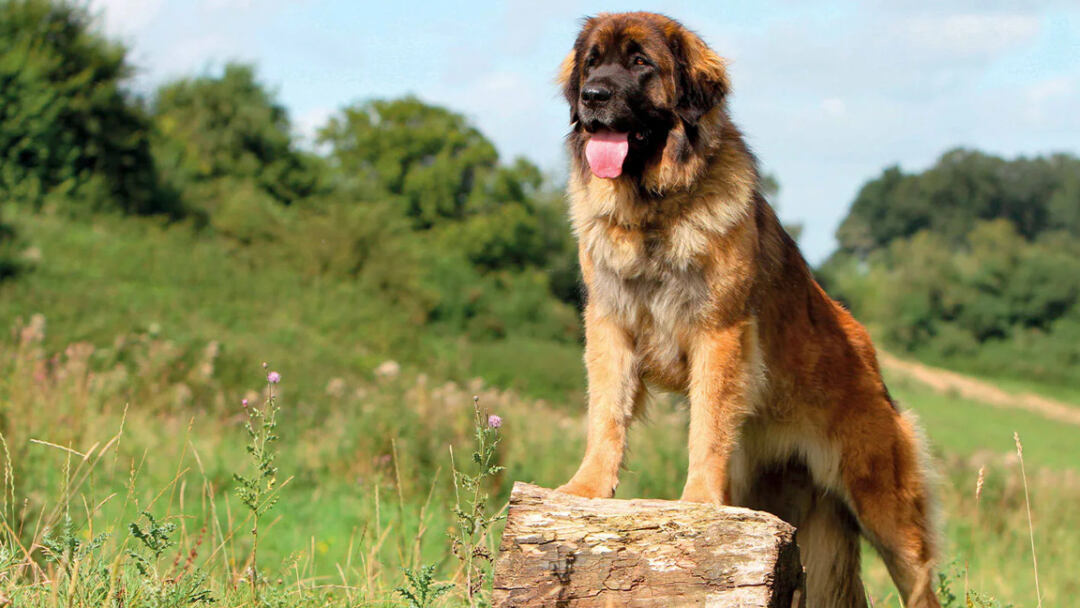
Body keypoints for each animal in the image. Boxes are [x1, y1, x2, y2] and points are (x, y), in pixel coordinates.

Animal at [552, 11, 941, 604]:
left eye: (640, 63)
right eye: (592, 63)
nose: (593, 96)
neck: (655, 212)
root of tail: (870, 358)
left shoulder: (719, 331)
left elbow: (707, 427)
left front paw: (697, 505)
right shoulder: (610, 326)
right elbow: (606, 414)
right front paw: (587, 488)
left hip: (885, 504)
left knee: (919, 577)